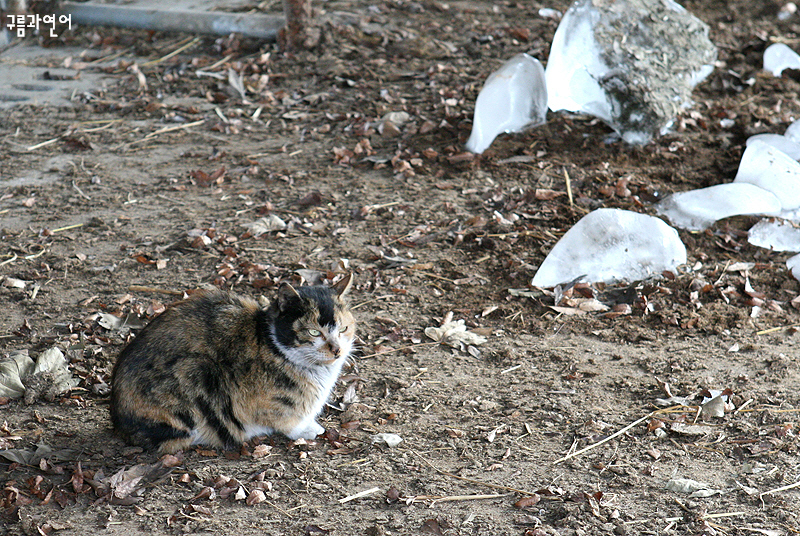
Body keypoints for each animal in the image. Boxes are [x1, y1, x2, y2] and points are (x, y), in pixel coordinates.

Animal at [110, 274, 356, 454]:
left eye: (343, 329)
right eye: (314, 332)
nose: (337, 350)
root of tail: (117, 419)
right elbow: (287, 420)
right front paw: (309, 429)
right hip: (194, 373)